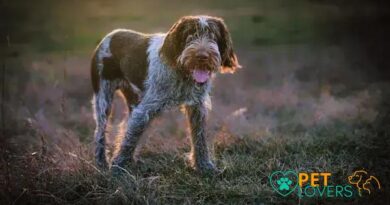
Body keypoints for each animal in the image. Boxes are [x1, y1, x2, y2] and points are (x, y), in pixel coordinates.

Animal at [90, 15, 241, 174]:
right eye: (189, 35)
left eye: (213, 36)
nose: (202, 56)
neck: (182, 72)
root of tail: (110, 35)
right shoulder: (145, 110)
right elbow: (130, 139)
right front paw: (117, 168)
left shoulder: (197, 107)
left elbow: (199, 138)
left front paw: (204, 166)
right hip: (103, 98)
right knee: (100, 131)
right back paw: (101, 162)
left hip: (133, 98)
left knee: (125, 125)